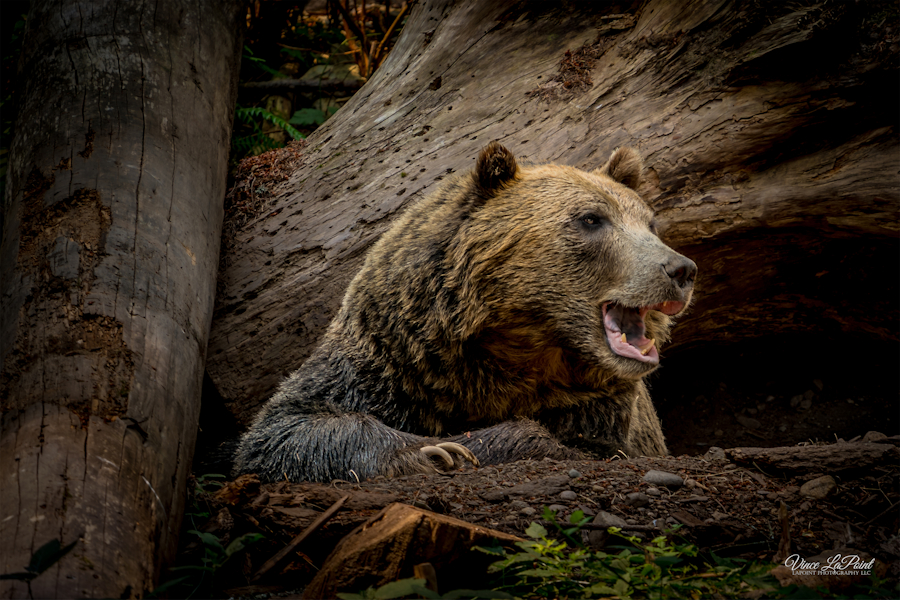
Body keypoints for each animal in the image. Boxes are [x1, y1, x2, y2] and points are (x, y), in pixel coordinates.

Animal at [233, 142, 697, 483]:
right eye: (591, 219)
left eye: (650, 224)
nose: (680, 269)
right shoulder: (394, 357)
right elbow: (286, 427)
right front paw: (432, 450)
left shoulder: (599, 403)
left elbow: (578, 445)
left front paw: (466, 447)